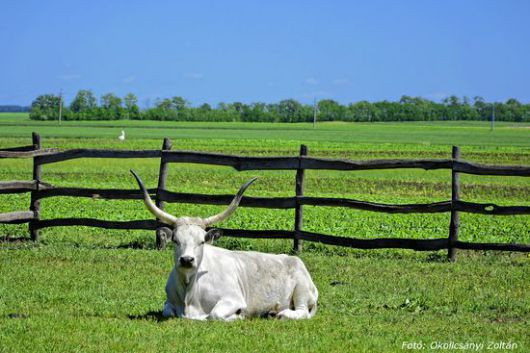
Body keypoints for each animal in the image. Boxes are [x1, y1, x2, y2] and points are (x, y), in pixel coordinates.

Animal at [129, 170, 316, 320]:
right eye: (175, 240)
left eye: (202, 241)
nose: (187, 260)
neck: (190, 289)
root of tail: (293, 258)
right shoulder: (168, 302)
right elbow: (167, 311)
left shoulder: (233, 299)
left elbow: (214, 314)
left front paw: (237, 316)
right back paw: (270, 312)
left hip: (302, 289)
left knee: (302, 311)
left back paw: (280, 314)